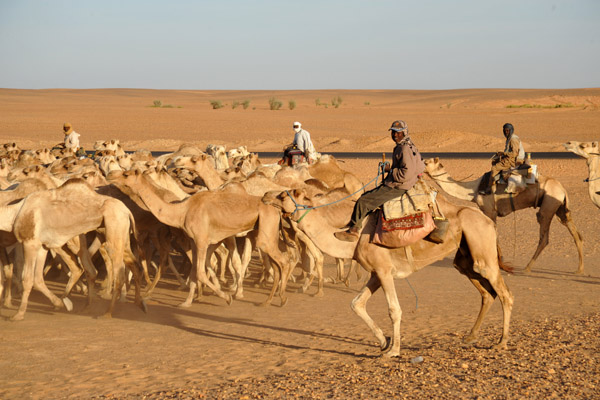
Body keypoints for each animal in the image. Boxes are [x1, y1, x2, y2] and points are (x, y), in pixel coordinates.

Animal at [0, 180, 145, 320]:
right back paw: (137, 304)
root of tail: (127, 210)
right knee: (133, 265)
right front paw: (58, 303)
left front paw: (18, 315)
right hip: (121, 234)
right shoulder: (43, 246)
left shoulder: (29, 243)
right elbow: (37, 279)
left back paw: (107, 312)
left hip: (113, 227)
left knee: (117, 273)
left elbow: (27, 279)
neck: (14, 213)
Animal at [108, 168, 296, 306]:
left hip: (265, 230)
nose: (110, 174)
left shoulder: (202, 240)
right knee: (277, 262)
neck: (182, 211)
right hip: (262, 231)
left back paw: (281, 297)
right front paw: (187, 302)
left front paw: (226, 297)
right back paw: (268, 300)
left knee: (284, 260)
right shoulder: (193, 241)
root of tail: (276, 209)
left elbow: (200, 271)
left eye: (126, 174)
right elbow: (194, 271)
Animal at [264, 187, 512, 356]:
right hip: (465, 258)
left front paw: (394, 350)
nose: (265, 195)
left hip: (482, 250)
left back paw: (501, 342)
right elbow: (356, 304)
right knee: (486, 293)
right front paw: (384, 341)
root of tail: (489, 221)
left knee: (505, 294)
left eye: (283, 195)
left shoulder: (384, 271)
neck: (353, 240)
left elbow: (394, 309)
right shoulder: (376, 273)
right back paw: (470, 336)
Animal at [424, 157, 584, 276]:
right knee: (575, 234)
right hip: (560, 209)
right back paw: (579, 270)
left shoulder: (490, 210)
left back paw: (527, 268)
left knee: (544, 236)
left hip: (548, 206)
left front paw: (500, 265)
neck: (473, 189)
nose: (421, 162)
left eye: (426, 162)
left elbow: (494, 235)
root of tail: (562, 189)